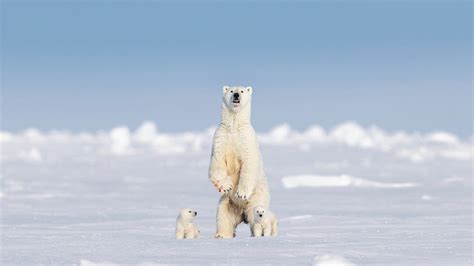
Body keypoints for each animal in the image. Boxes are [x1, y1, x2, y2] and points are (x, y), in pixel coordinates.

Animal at [208, 85, 270, 239]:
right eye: (231, 90)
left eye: (242, 91)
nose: (236, 95)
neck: (234, 127)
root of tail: (243, 215)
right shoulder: (220, 138)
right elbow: (217, 163)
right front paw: (225, 186)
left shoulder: (246, 140)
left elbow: (249, 164)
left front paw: (241, 193)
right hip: (227, 203)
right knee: (223, 217)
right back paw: (222, 235)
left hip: (257, 200)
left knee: (256, 216)